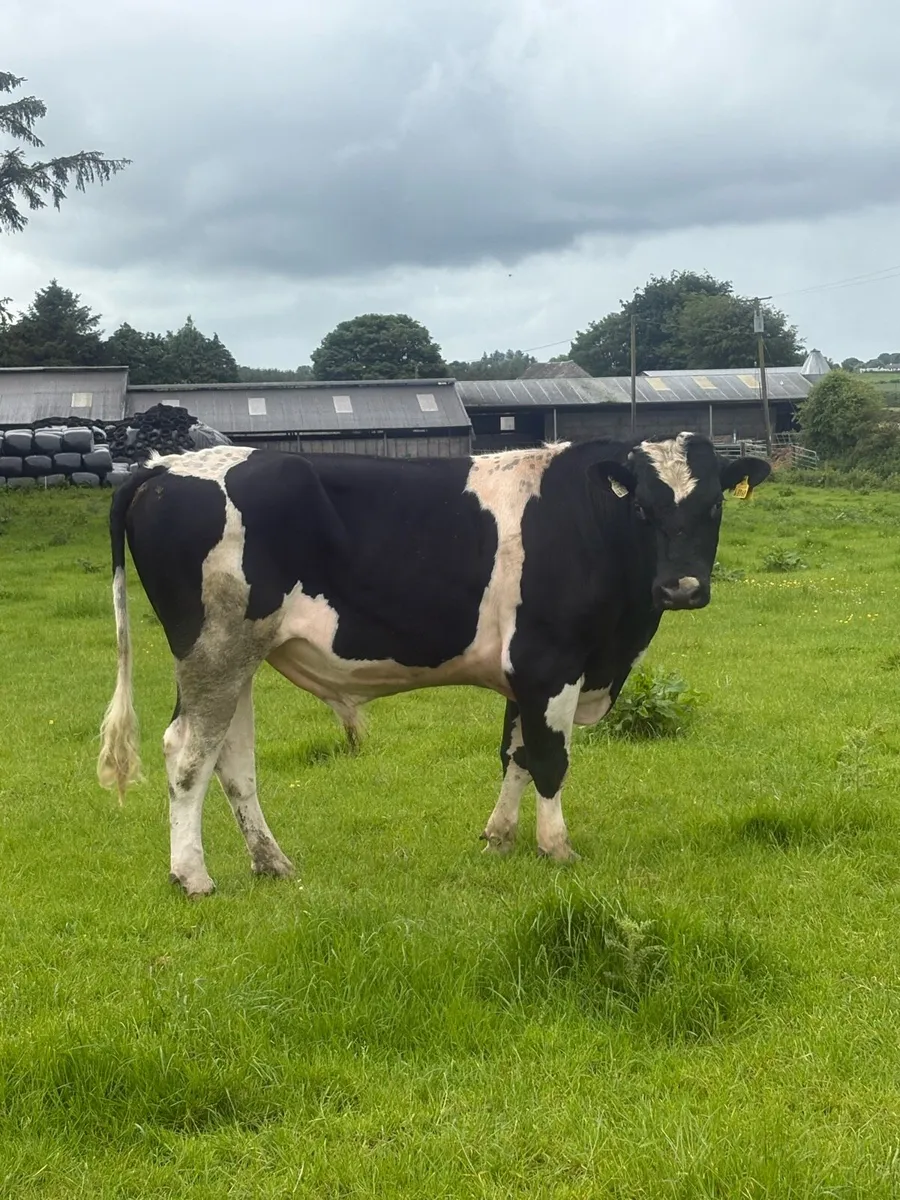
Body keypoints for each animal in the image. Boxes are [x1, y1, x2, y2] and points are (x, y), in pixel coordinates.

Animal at [97, 433, 770, 896]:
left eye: (714, 506)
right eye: (643, 509)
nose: (681, 588)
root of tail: (165, 466)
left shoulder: (522, 674)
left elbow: (514, 755)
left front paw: (499, 840)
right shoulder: (550, 661)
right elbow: (550, 761)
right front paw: (557, 848)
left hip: (240, 654)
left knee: (231, 759)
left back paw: (273, 863)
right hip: (215, 648)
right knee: (187, 752)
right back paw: (192, 877)